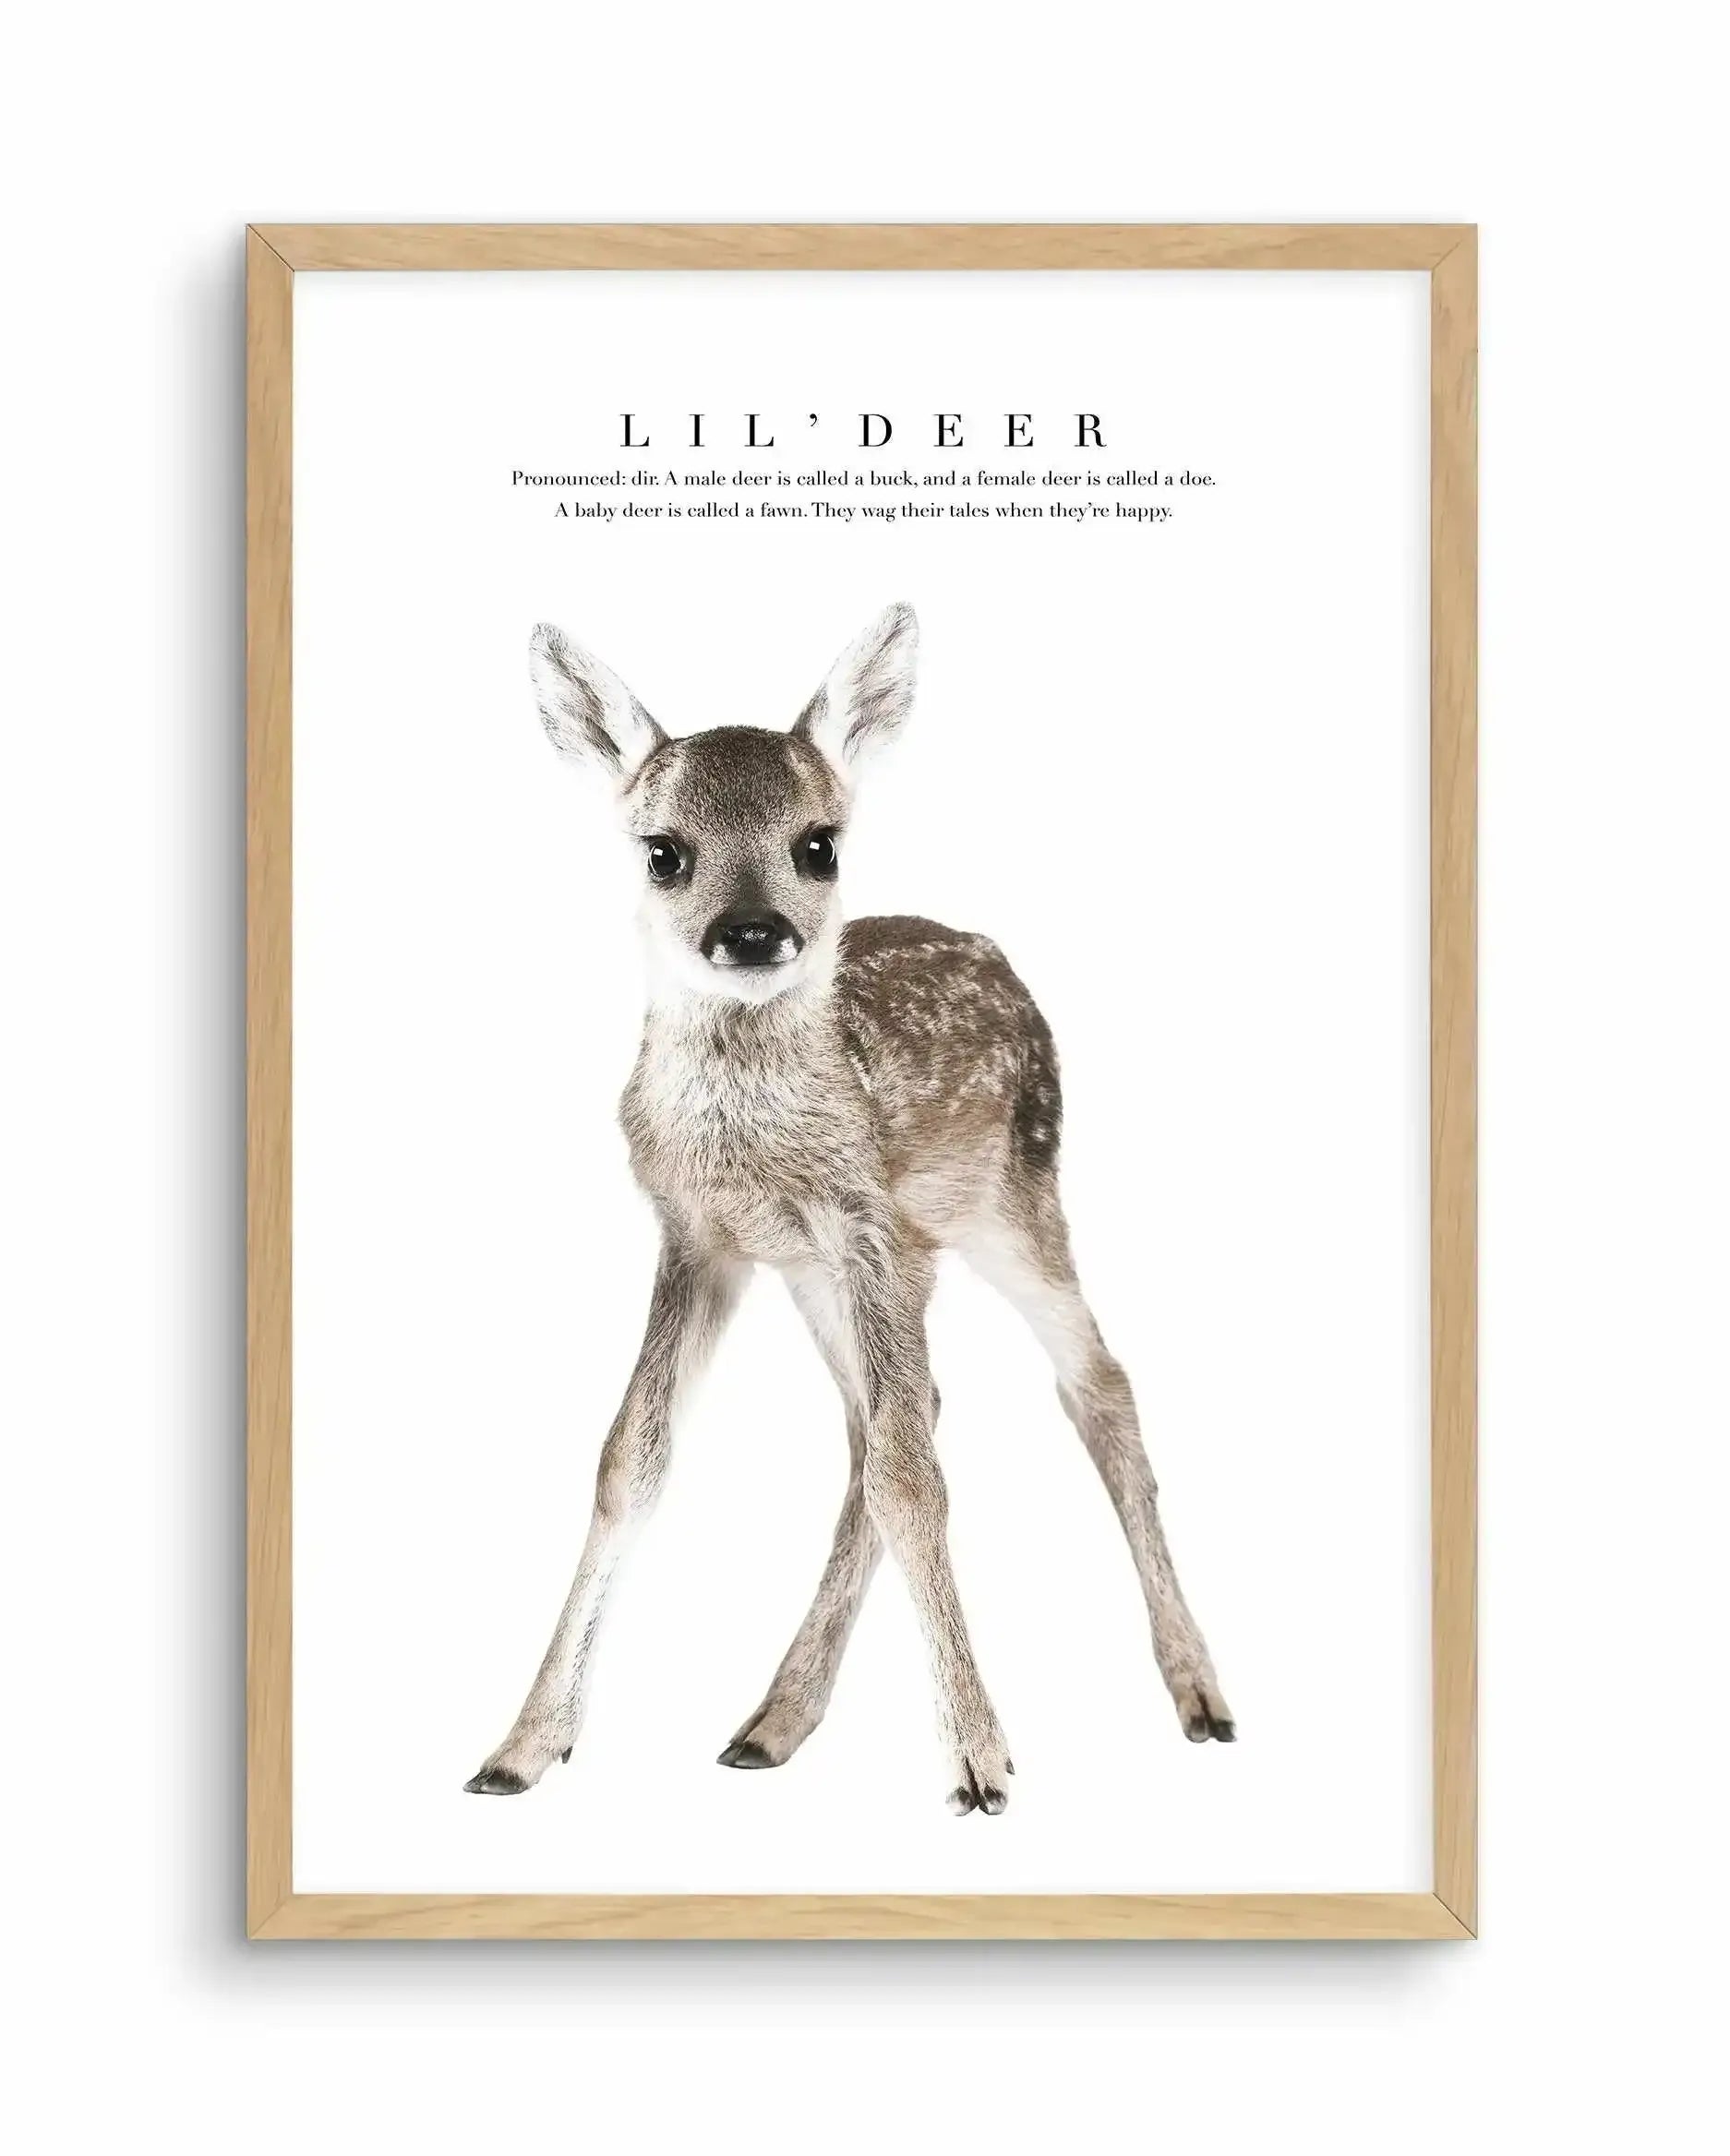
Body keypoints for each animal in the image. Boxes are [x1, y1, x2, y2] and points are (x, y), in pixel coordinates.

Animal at [465, 603, 1233, 1816]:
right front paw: (523, 1744)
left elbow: (909, 1476)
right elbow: (632, 1456)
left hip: (1013, 1198)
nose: (751, 932)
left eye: (817, 842)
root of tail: (993, 951)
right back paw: (772, 1720)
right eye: (662, 850)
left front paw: (977, 1761)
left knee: (1091, 1384)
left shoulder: (862, 1218)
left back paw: (1198, 1692)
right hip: (846, 1271)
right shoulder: (700, 1237)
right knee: (893, 1418)